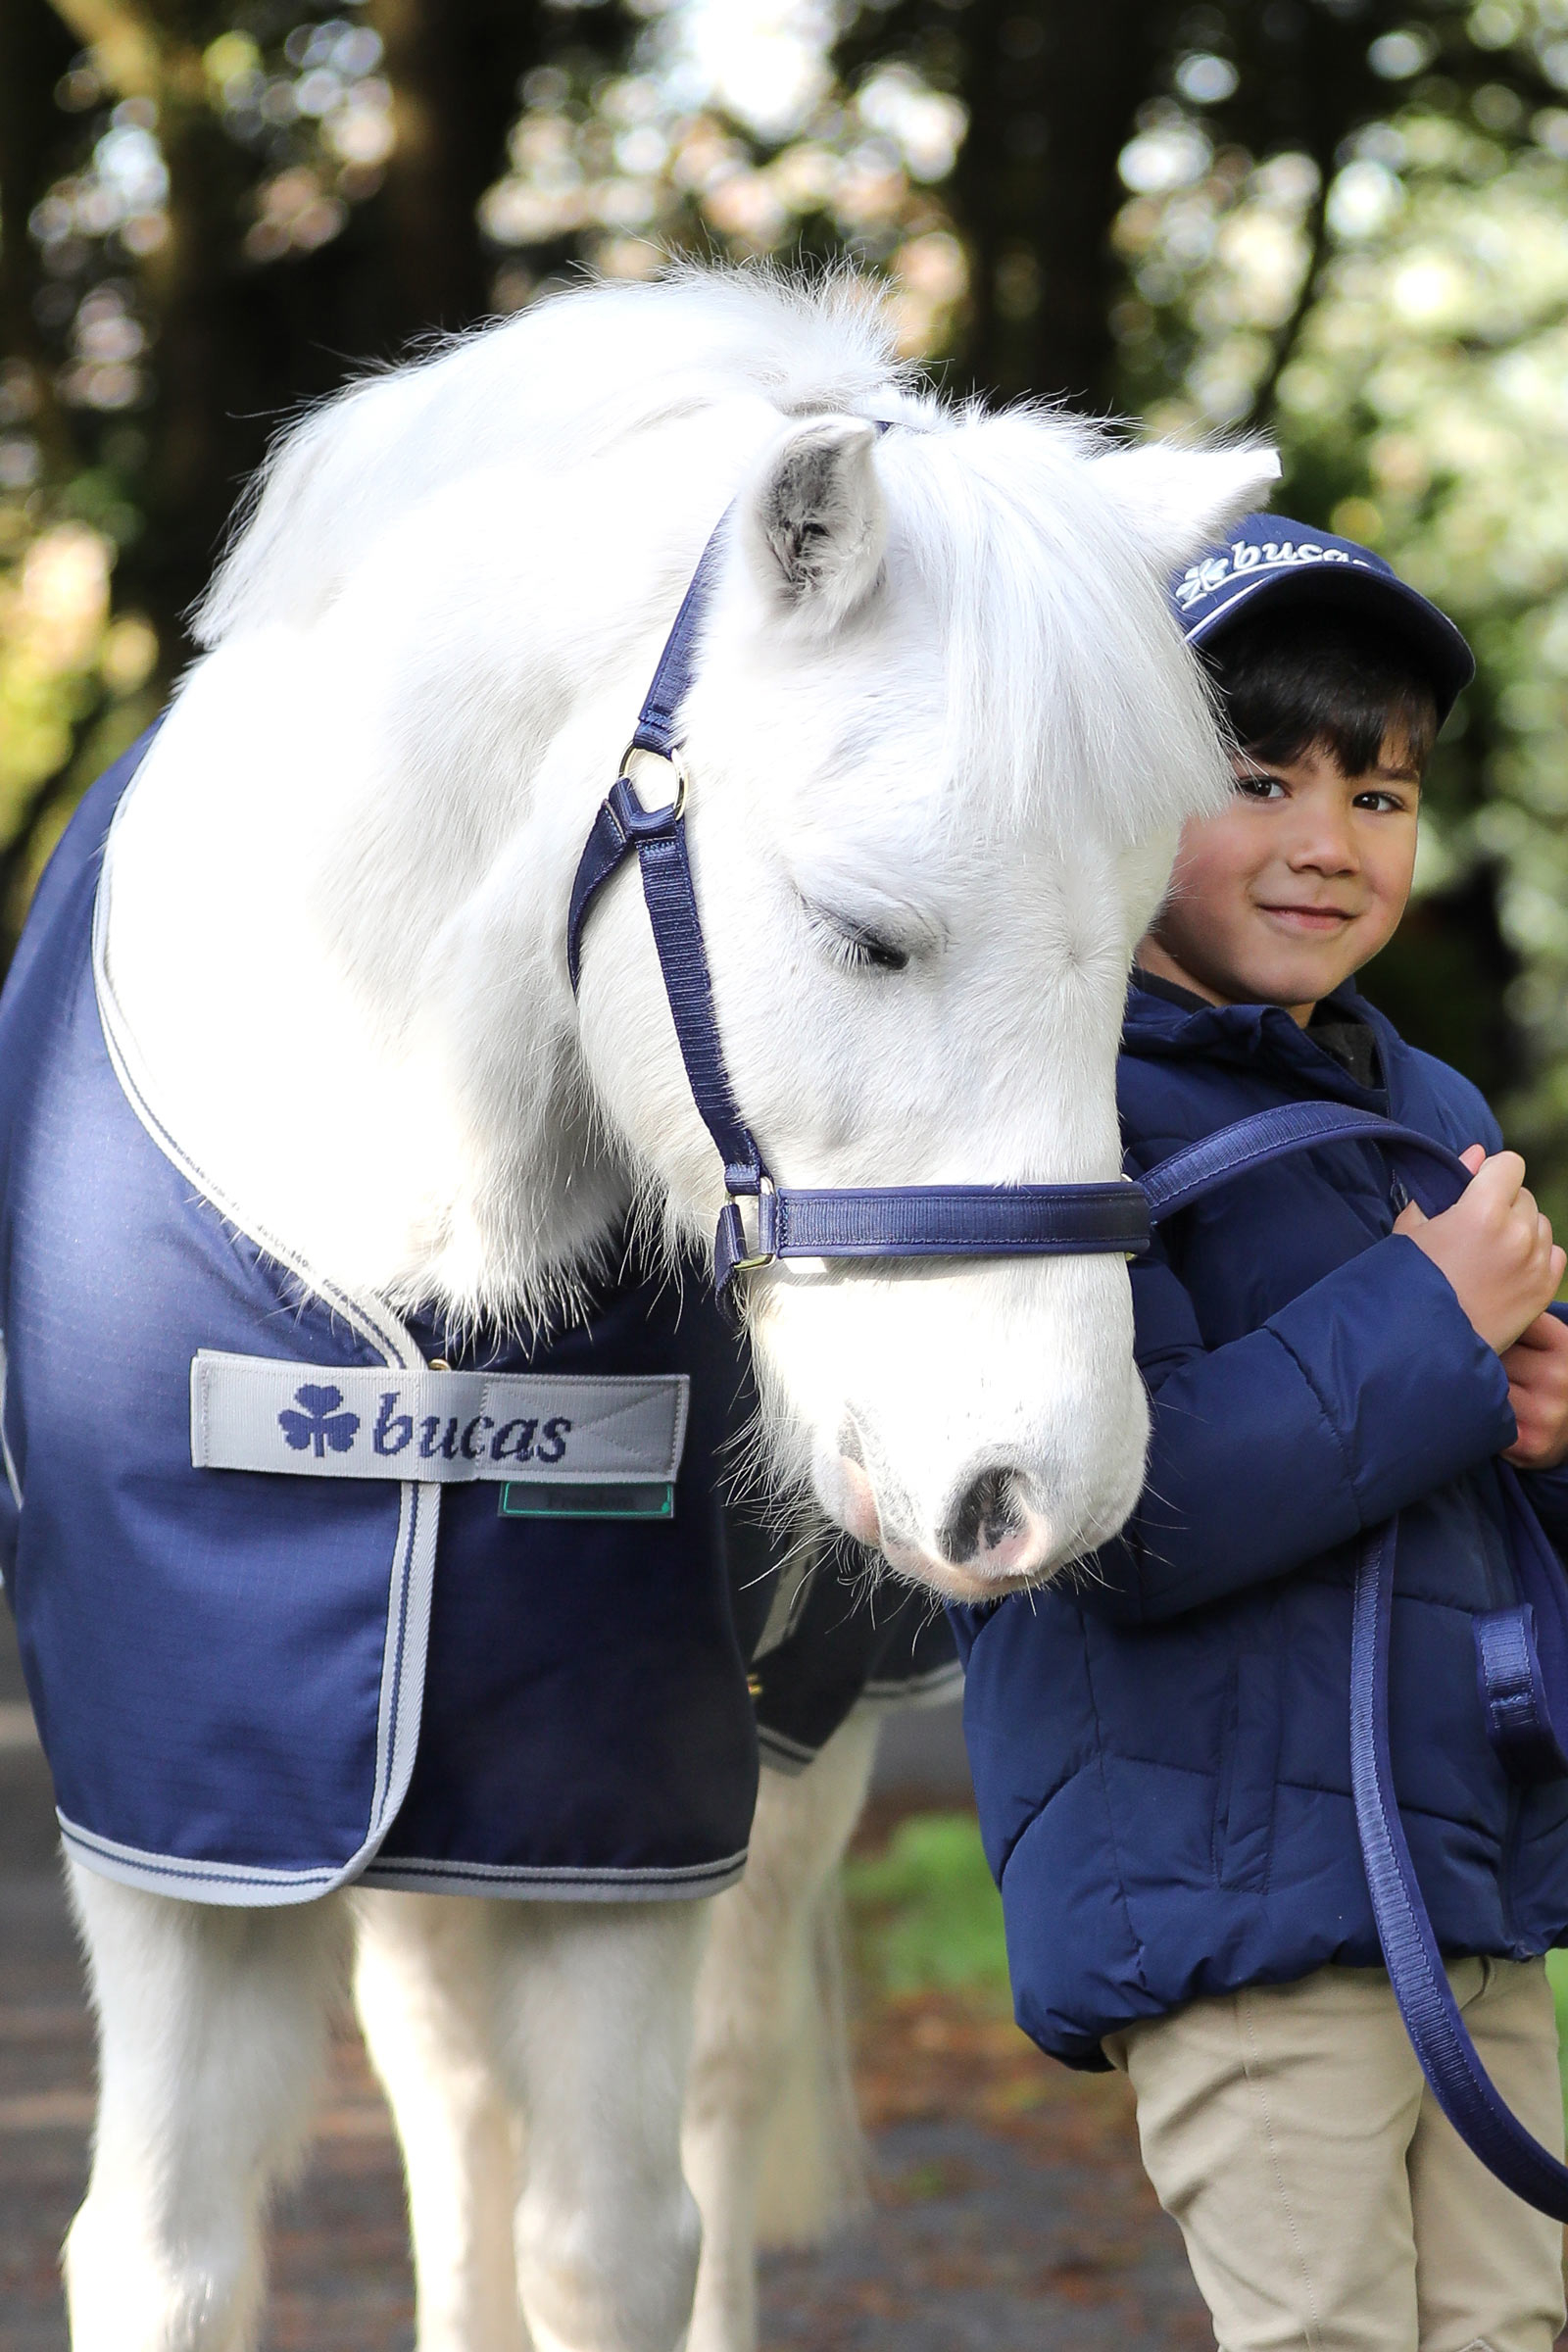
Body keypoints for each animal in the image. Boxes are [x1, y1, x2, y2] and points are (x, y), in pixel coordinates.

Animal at [2, 266, 1275, 2351]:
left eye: (1134, 953)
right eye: (868, 935)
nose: (1045, 1490)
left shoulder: (627, 1824)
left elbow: (614, 2235)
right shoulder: (194, 1820)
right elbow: (167, 2251)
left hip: (788, 1774)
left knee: (707, 2106)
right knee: (446, 2099)